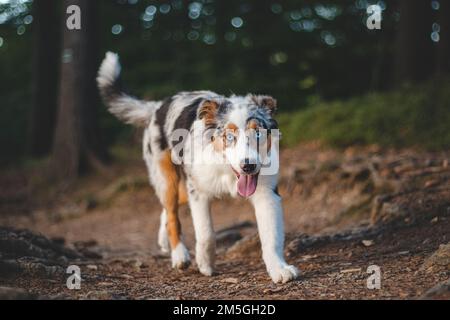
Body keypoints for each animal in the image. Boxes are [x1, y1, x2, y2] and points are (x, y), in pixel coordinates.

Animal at [96, 53, 298, 284]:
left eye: (258, 133)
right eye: (229, 136)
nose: (248, 166)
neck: (227, 171)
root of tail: (158, 106)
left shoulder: (267, 193)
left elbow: (271, 236)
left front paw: (279, 269)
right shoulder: (199, 192)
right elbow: (206, 233)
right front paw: (205, 263)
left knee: (169, 208)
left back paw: (164, 241)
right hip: (166, 178)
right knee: (172, 213)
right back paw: (179, 255)